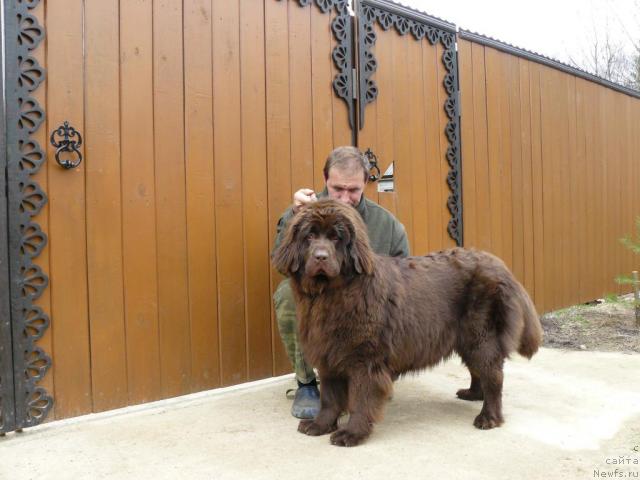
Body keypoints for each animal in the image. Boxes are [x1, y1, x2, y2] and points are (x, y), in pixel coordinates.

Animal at [272, 199, 544, 446]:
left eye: (336, 238)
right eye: (309, 236)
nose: (321, 257)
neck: (332, 294)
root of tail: (499, 264)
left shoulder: (364, 358)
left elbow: (360, 398)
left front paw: (352, 433)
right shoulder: (328, 353)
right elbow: (329, 397)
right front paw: (320, 425)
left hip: (480, 335)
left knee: (493, 374)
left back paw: (489, 417)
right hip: (466, 338)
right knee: (478, 370)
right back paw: (473, 394)